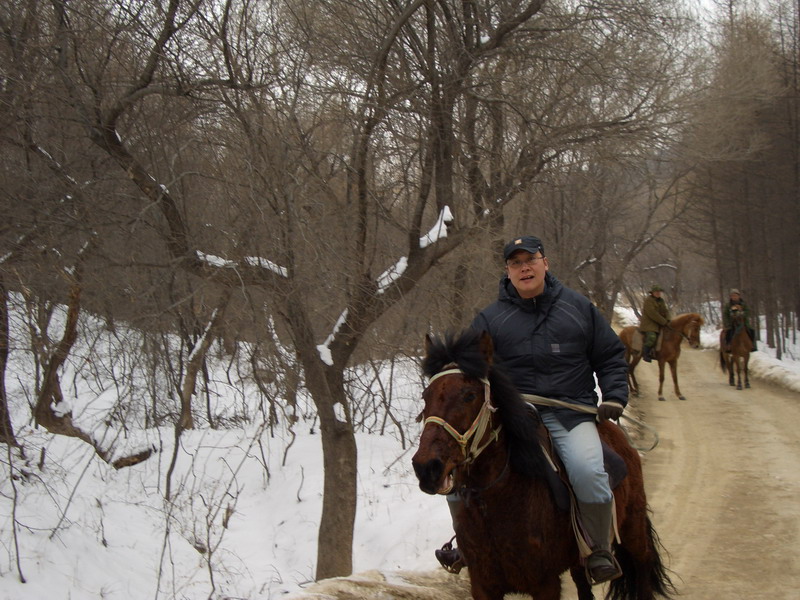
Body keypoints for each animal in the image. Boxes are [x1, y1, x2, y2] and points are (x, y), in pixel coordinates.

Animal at [412, 328, 676, 600]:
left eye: (469, 395)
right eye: (426, 395)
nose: (426, 467)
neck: (498, 499)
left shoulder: (544, 583)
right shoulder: (483, 584)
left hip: (633, 528)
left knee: (642, 566)